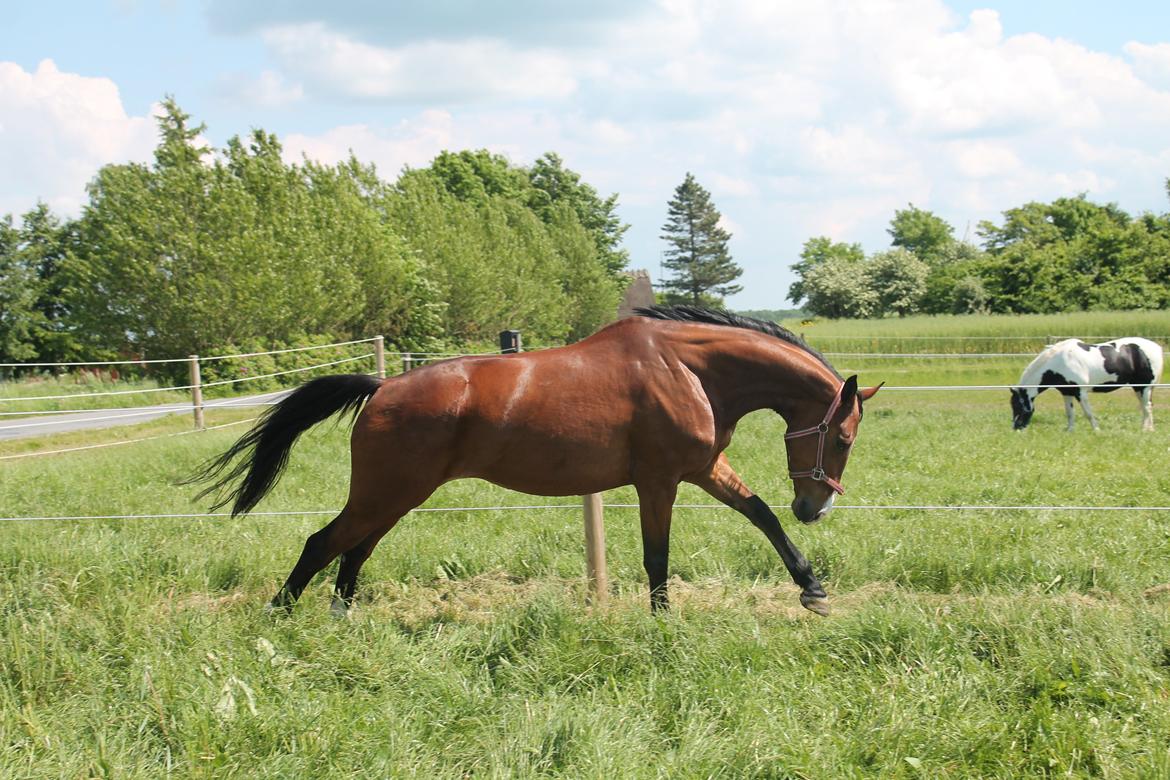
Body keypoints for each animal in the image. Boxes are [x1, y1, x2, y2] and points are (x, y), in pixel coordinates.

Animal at [189, 304, 879, 617]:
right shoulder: (659, 481)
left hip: (396, 497)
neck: (689, 370)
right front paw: (661, 621)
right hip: (388, 492)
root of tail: (380, 388)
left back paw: (340, 614)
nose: (815, 506)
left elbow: (761, 514)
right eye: (844, 438)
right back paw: (281, 617)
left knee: (352, 549)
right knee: (323, 542)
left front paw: (813, 589)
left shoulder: (704, 470)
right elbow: (657, 556)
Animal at [1010, 336, 1165, 432]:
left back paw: (1146, 429)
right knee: (1145, 407)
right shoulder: (1066, 393)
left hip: (1145, 386)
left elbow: (1088, 413)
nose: (1016, 428)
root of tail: (1157, 347)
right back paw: (1147, 428)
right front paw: (1070, 430)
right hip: (1137, 387)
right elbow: (1069, 413)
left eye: (1018, 405)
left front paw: (1097, 430)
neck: (1059, 362)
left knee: (1147, 406)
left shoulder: (1081, 392)